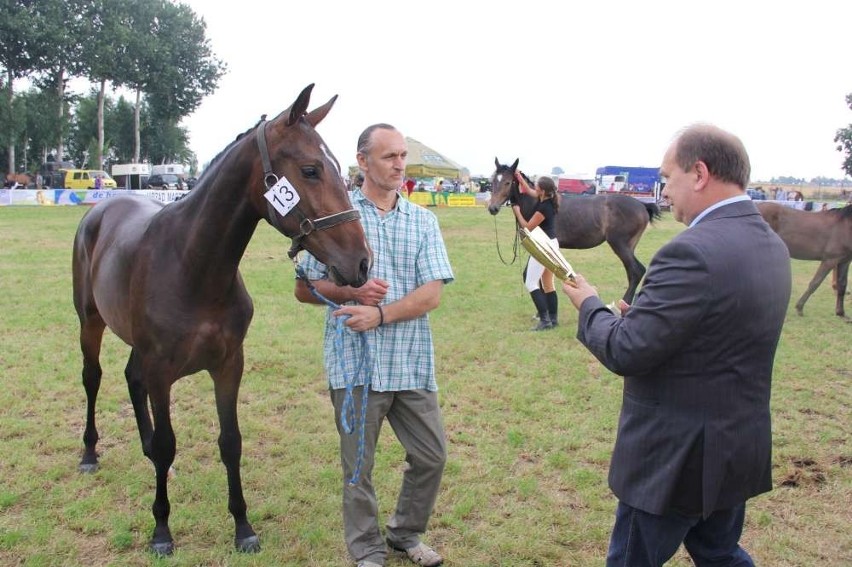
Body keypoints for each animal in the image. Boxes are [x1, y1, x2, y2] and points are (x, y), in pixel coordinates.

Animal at [74, 84, 372, 556]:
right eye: (310, 169)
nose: (360, 262)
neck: (192, 266)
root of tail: (101, 207)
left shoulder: (229, 364)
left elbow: (230, 442)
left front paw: (243, 527)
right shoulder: (161, 371)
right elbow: (168, 443)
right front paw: (162, 531)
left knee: (130, 379)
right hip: (90, 322)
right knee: (93, 377)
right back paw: (89, 454)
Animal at [490, 158, 664, 304]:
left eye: (507, 182)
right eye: (492, 181)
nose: (492, 208)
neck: (538, 202)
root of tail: (642, 205)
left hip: (620, 245)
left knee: (636, 271)